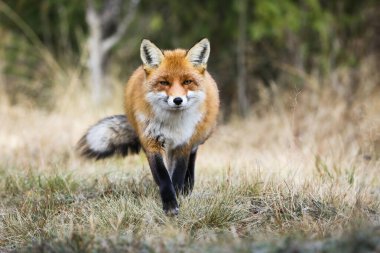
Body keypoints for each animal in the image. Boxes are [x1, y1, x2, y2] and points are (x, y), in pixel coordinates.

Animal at [77, 38, 220, 214]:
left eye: (187, 82)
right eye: (164, 82)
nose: (178, 100)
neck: (172, 124)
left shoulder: (183, 144)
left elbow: (178, 175)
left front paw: (177, 197)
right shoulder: (151, 142)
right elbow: (164, 176)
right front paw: (170, 203)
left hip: (198, 136)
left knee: (192, 158)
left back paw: (188, 187)